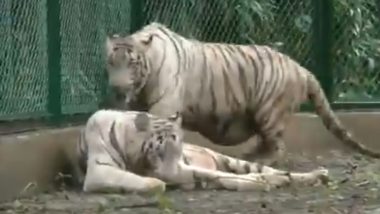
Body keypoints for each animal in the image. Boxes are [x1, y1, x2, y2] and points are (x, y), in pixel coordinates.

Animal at [77, 109, 330, 193]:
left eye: (177, 148)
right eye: (158, 150)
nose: (170, 173)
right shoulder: (99, 171)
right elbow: (141, 180)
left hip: (229, 159)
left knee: (259, 169)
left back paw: (314, 175)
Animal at [104, 22, 380, 166]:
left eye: (131, 64)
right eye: (112, 63)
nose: (117, 87)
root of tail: (301, 68)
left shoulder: (164, 106)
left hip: (269, 111)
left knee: (277, 146)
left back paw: (260, 161)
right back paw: (249, 156)